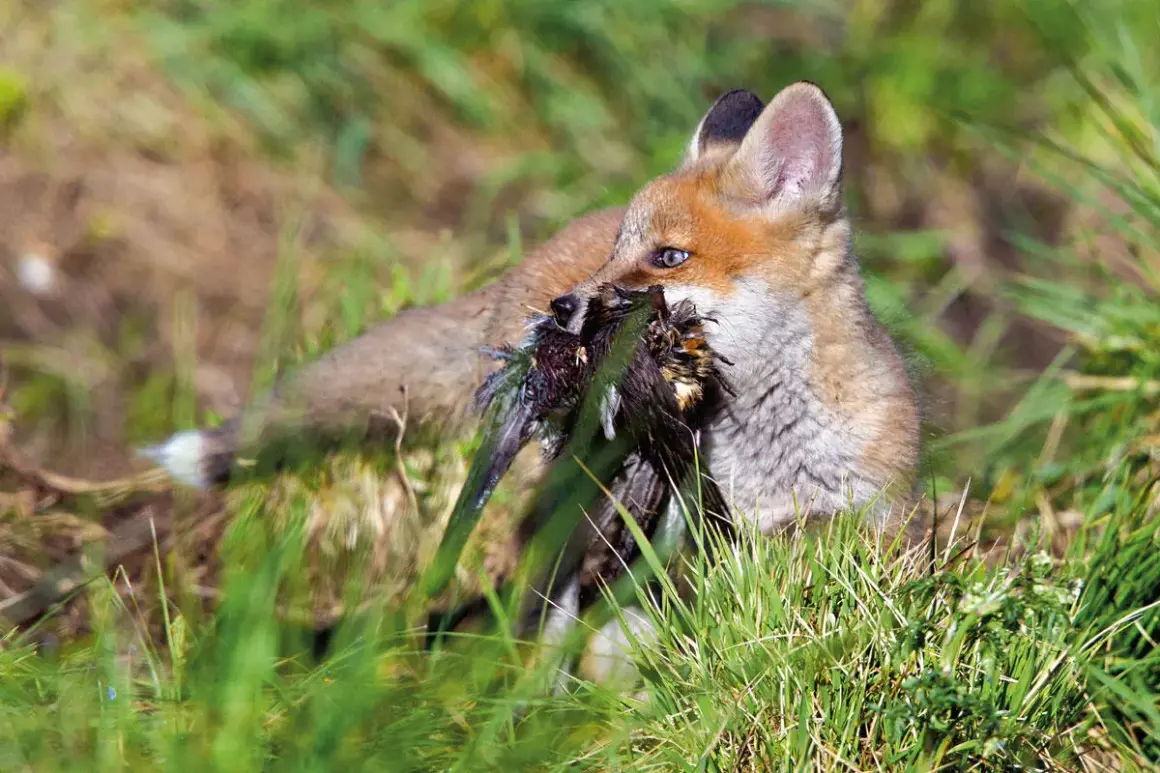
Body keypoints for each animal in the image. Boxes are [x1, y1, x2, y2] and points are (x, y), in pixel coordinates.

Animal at [144, 82, 921, 677]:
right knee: (547, 612)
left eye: (669, 256)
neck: (763, 444)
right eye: (619, 253)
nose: (565, 307)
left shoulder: (864, 516)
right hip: (563, 506)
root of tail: (523, 267)